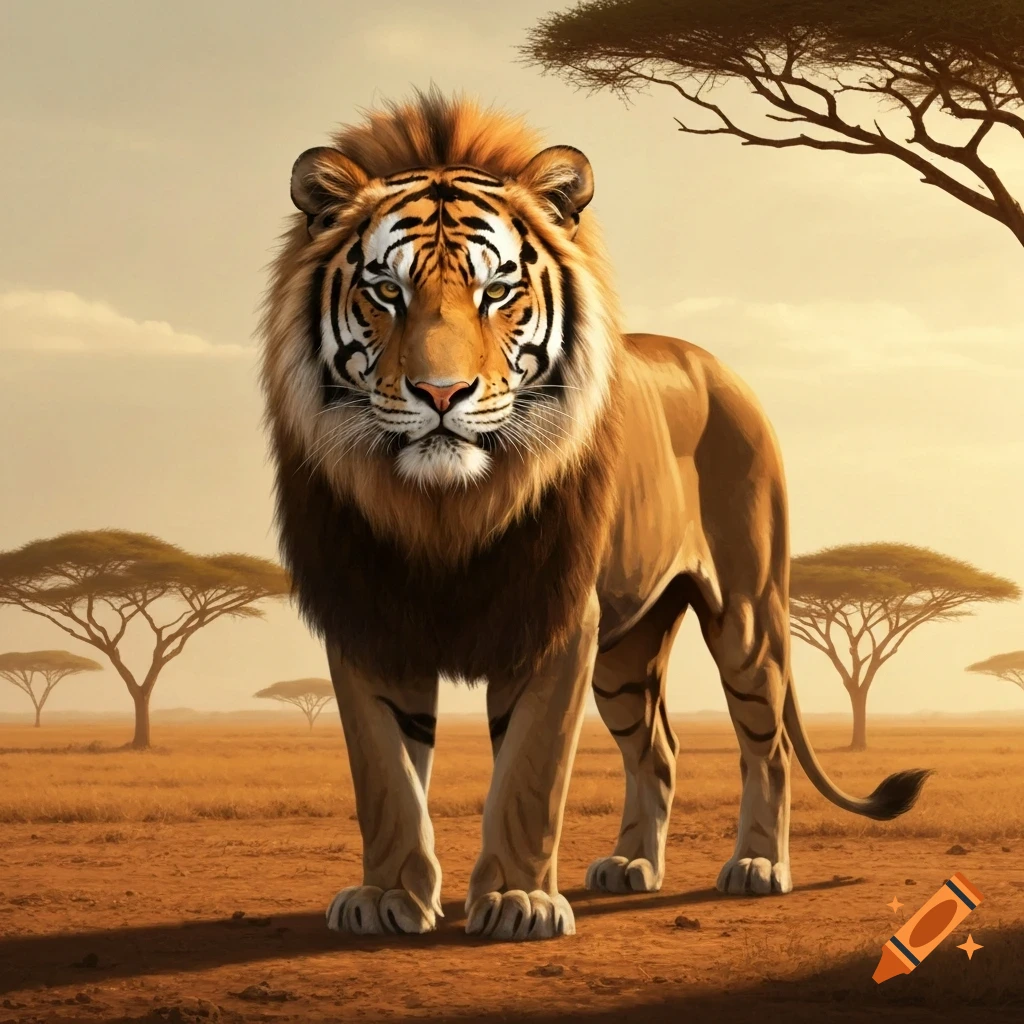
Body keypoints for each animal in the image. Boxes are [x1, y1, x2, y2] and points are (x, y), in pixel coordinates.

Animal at [258, 88, 930, 942]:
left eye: (497, 292)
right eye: (386, 292)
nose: (441, 394)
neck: (440, 508)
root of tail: (719, 365)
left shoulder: (557, 619)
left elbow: (529, 774)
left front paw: (516, 902)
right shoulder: (368, 610)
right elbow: (384, 776)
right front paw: (386, 899)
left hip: (746, 614)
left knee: (767, 742)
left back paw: (758, 866)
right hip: (626, 646)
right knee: (660, 750)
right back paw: (633, 865)